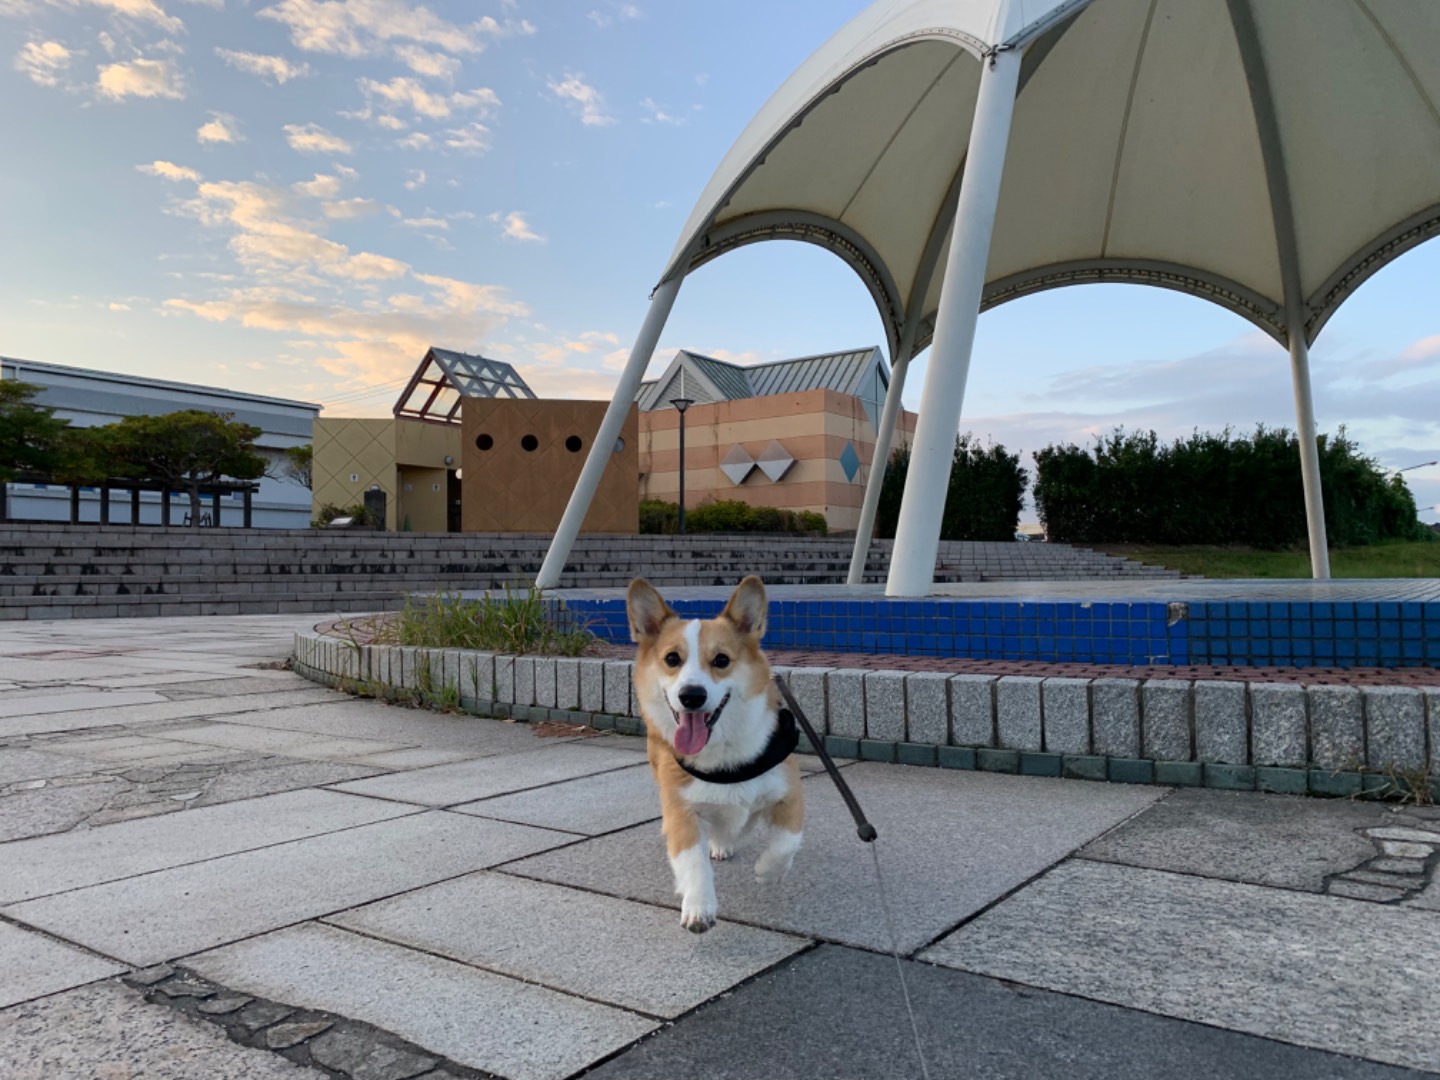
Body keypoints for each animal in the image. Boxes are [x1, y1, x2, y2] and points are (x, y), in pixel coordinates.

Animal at [626, 575, 804, 933]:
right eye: (672, 659)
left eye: (721, 660)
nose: (691, 695)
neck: (723, 756)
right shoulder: (681, 811)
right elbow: (693, 862)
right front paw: (699, 907)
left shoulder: (789, 794)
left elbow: (786, 841)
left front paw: (768, 871)